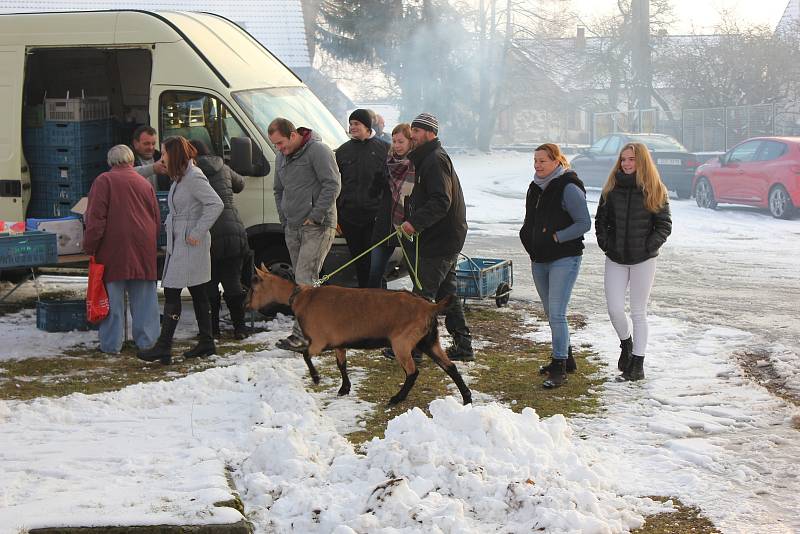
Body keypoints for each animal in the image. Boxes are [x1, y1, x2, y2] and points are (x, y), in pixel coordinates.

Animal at [247, 268, 472, 406]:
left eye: (253, 285)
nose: (246, 304)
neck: (302, 298)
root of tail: (429, 307)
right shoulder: (339, 343)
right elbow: (341, 365)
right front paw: (344, 389)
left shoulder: (319, 341)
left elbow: (305, 355)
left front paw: (316, 378)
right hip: (429, 341)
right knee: (450, 367)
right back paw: (467, 398)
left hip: (401, 342)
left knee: (412, 372)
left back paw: (396, 399)